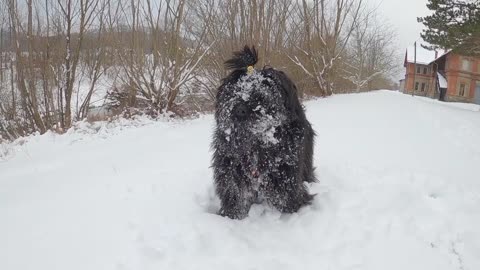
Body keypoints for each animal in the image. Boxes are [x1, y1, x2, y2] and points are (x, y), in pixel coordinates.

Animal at [212, 46, 316, 219]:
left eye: (260, 96)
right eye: (234, 92)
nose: (239, 109)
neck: (256, 142)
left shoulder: (286, 169)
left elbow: (287, 196)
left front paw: (291, 212)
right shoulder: (230, 167)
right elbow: (235, 194)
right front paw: (232, 215)